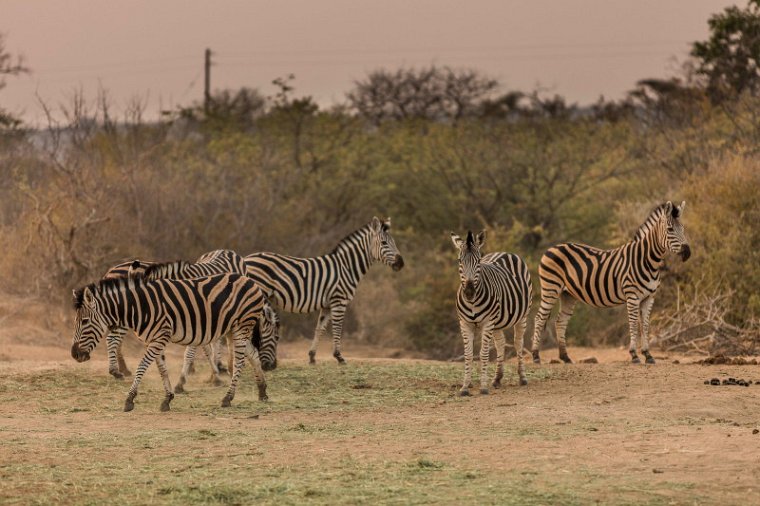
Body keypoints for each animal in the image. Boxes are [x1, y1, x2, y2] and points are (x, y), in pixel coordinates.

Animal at [71, 272, 272, 412]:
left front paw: (129, 399)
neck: (139, 307)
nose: (74, 354)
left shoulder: (160, 336)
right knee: (253, 354)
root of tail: (251, 281)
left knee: (239, 362)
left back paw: (228, 398)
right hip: (233, 329)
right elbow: (162, 368)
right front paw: (167, 399)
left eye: (85, 322)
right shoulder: (154, 339)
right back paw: (262, 391)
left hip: (241, 326)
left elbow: (142, 366)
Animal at [246, 215, 406, 366]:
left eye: (394, 242)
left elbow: (320, 328)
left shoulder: (327, 305)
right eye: (384, 243)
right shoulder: (339, 301)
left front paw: (312, 357)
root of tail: (246, 258)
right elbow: (337, 328)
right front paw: (339, 357)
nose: (401, 263)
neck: (346, 267)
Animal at [452, 229, 536, 396]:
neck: (472, 302)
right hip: (497, 321)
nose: (469, 292)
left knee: (518, 342)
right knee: (501, 343)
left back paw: (522, 378)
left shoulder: (487, 322)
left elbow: (483, 354)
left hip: (521, 316)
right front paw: (465, 387)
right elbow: (468, 355)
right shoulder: (465, 323)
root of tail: (505, 252)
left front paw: (483, 387)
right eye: (459, 261)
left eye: (478, 262)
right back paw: (497, 378)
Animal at [532, 200, 692, 366]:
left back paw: (565, 357)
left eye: (683, 228)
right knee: (539, 318)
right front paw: (634, 355)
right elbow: (633, 324)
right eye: (670, 229)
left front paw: (648, 355)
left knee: (560, 321)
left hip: (567, 294)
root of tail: (551, 248)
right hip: (550, 288)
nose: (687, 252)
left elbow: (645, 325)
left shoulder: (649, 297)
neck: (647, 261)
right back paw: (536, 356)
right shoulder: (632, 296)